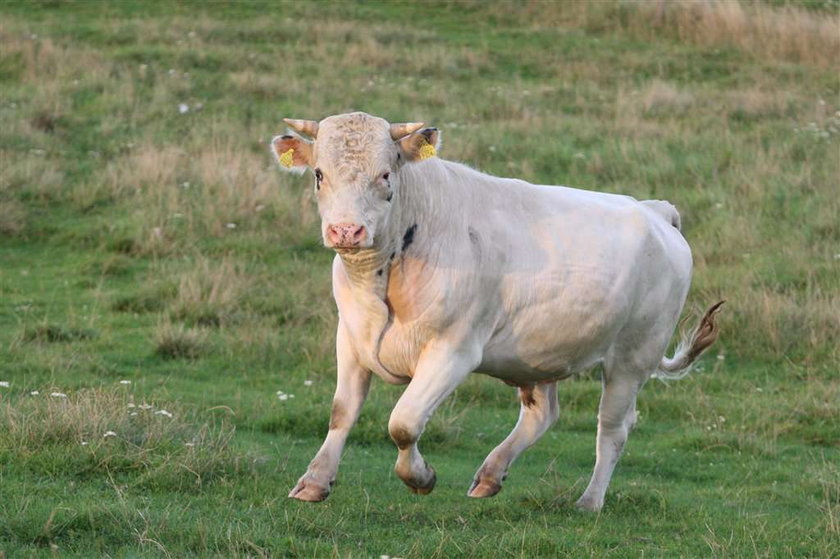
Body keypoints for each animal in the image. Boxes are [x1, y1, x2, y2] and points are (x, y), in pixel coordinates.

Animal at [270, 111, 720, 510]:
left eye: (385, 175)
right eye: (319, 174)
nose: (346, 230)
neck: (382, 278)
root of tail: (654, 210)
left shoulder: (454, 350)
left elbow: (404, 422)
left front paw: (421, 477)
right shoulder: (350, 338)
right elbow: (341, 414)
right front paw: (314, 482)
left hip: (632, 356)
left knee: (612, 428)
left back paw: (589, 502)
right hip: (539, 353)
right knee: (542, 414)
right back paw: (490, 474)